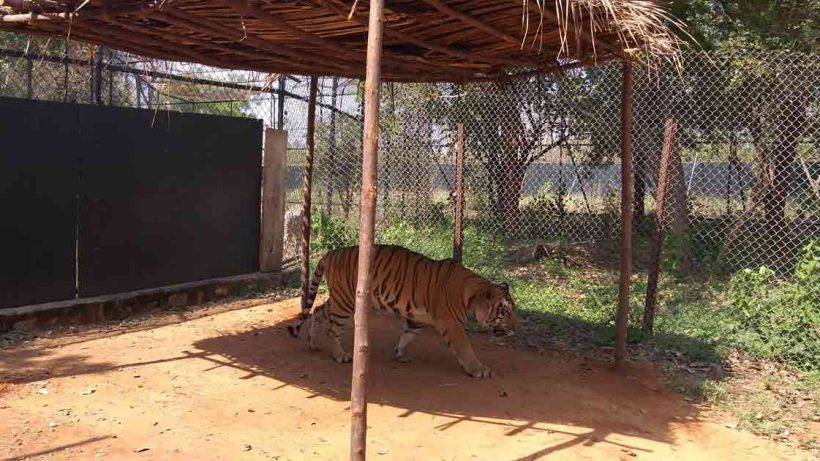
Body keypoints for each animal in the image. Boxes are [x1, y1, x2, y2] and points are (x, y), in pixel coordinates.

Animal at [288, 244, 516, 378]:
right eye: (504, 312)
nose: (514, 330)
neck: (470, 295)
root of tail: (331, 253)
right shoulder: (452, 325)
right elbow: (465, 348)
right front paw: (479, 370)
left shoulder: (418, 319)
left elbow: (408, 335)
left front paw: (399, 354)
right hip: (345, 302)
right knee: (332, 328)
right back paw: (340, 355)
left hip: (341, 297)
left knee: (318, 310)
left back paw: (313, 343)